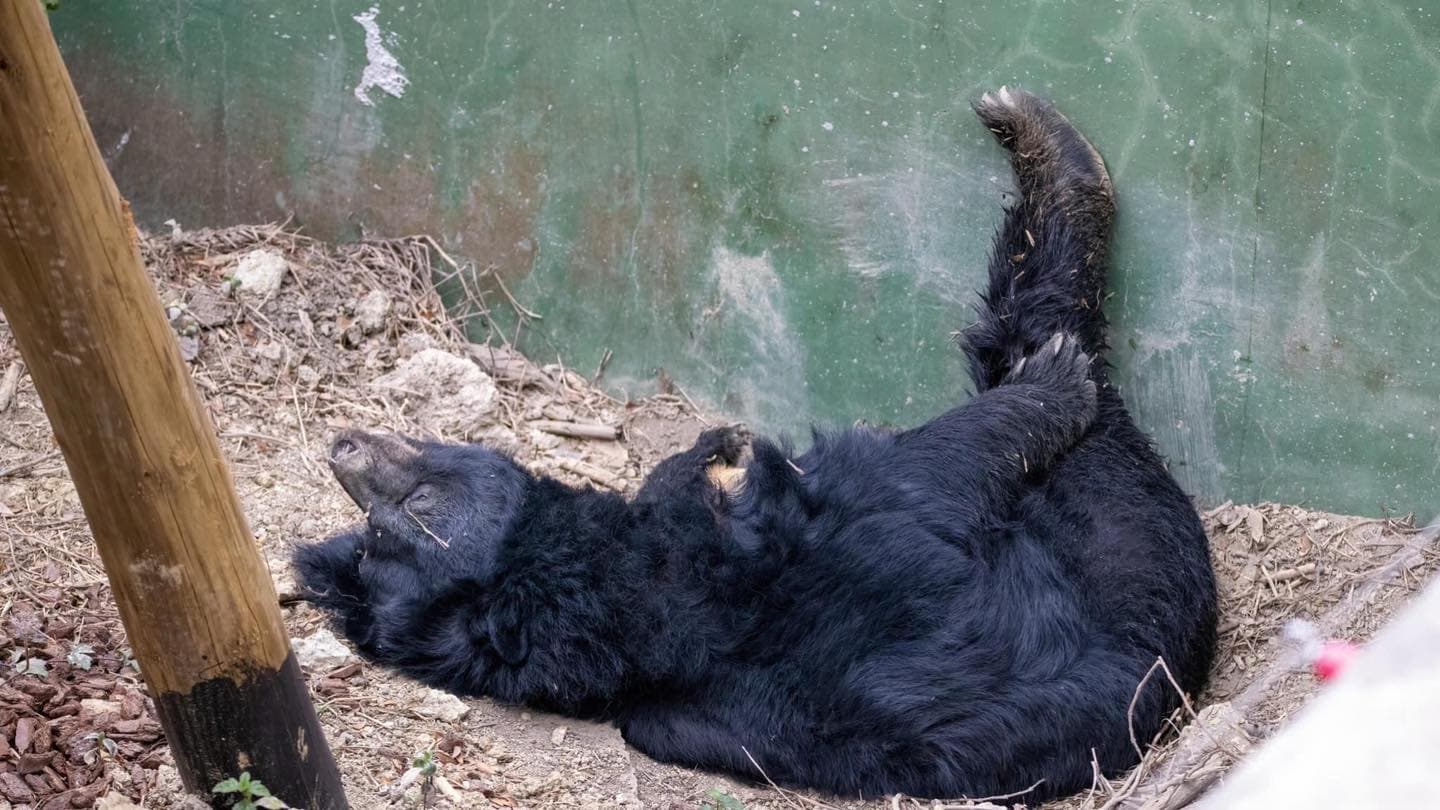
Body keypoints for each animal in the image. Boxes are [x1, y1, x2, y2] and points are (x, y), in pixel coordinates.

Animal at [294, 87, 1217, 804]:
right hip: (1121, 521)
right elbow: (928, 470)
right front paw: (1048, 389)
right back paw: (1051, 184)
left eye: (391, 519)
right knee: (1042, 346)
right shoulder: (799, 528)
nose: (345, 446)